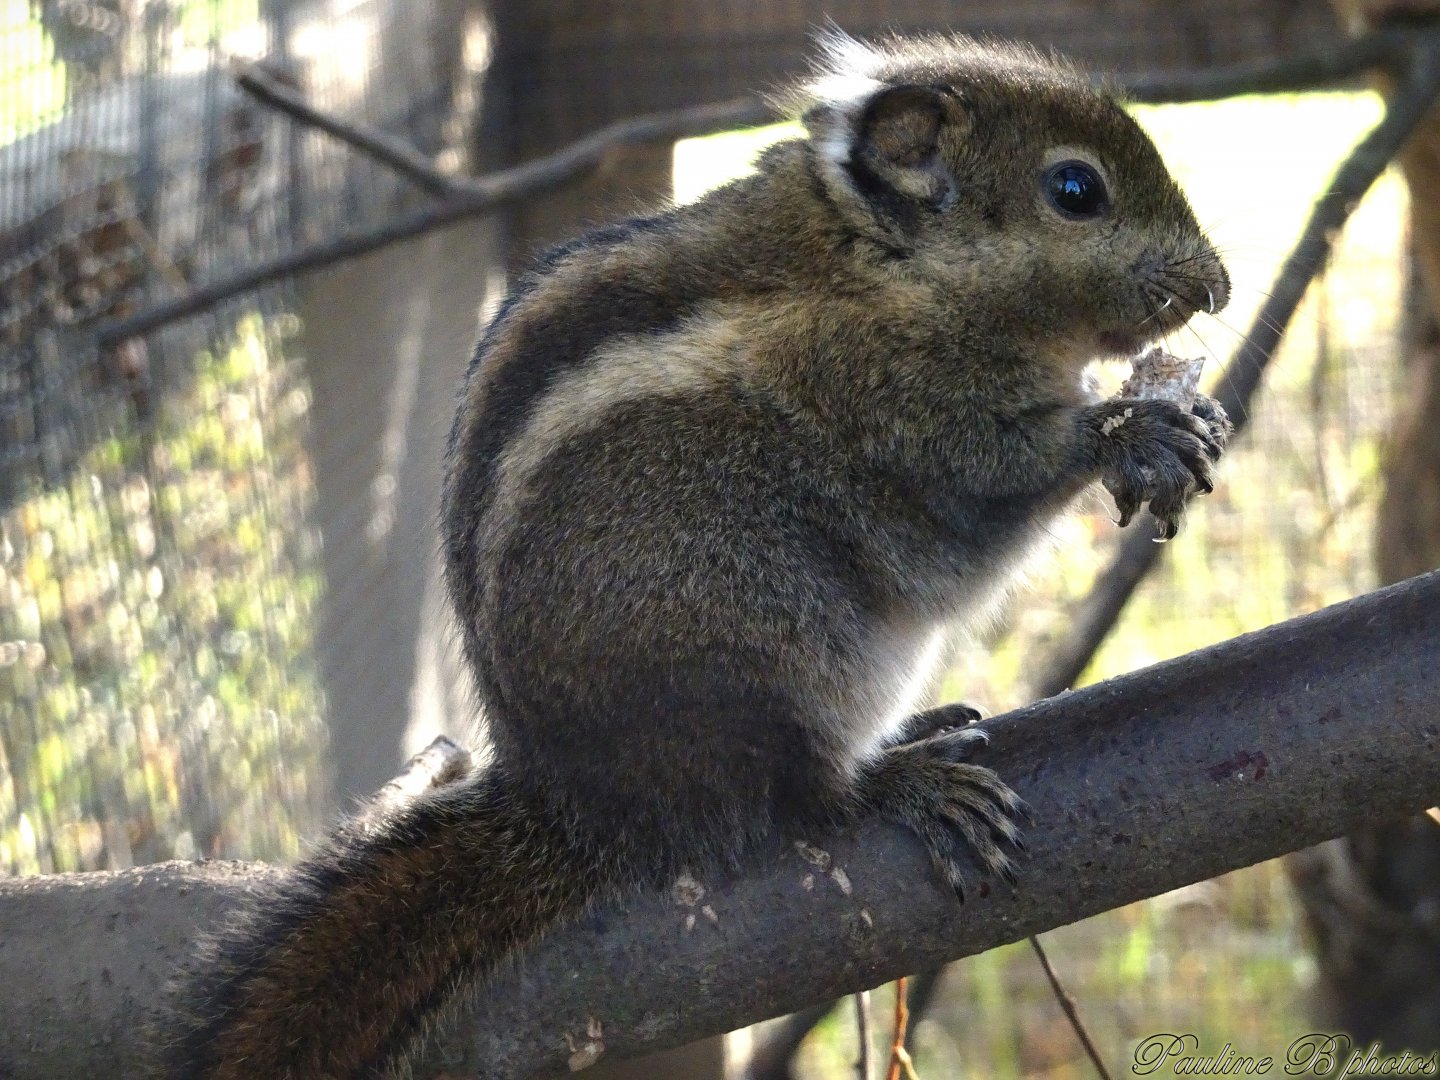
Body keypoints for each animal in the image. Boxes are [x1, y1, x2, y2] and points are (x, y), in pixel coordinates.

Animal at [157, 30, 1231, 1080]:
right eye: (1076, 189)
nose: (1217, 285)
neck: (882, 265)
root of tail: (580, 800)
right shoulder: (898, 416)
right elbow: (995, 486)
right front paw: (1130, 432)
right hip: (769, 644)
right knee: (799, 798)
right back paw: (897, 781)